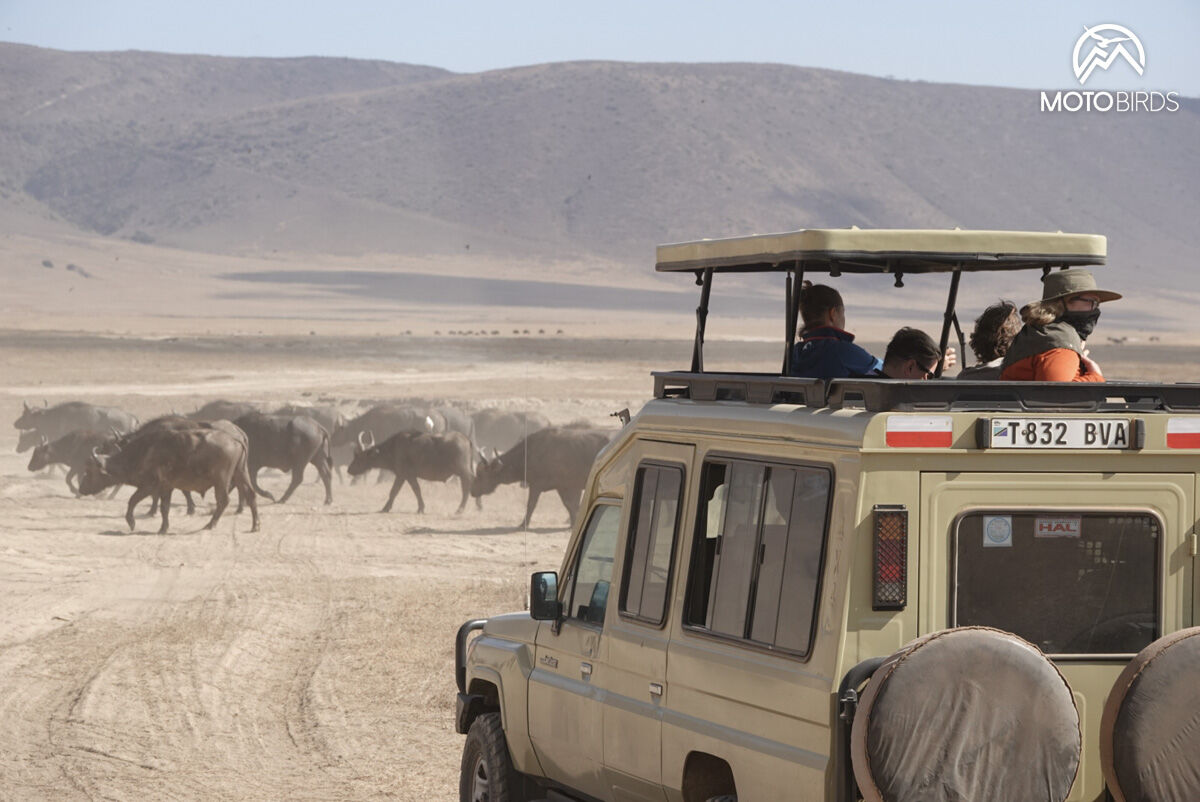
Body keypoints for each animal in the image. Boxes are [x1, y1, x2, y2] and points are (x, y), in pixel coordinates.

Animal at [472, 422, 614, 528]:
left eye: (481, 475)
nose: (473, 491)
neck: (530, 453)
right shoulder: (566, 487)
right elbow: (571, 505)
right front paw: (572, 523)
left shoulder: (538, 485)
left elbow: (531, 504)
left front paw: (523, 524)